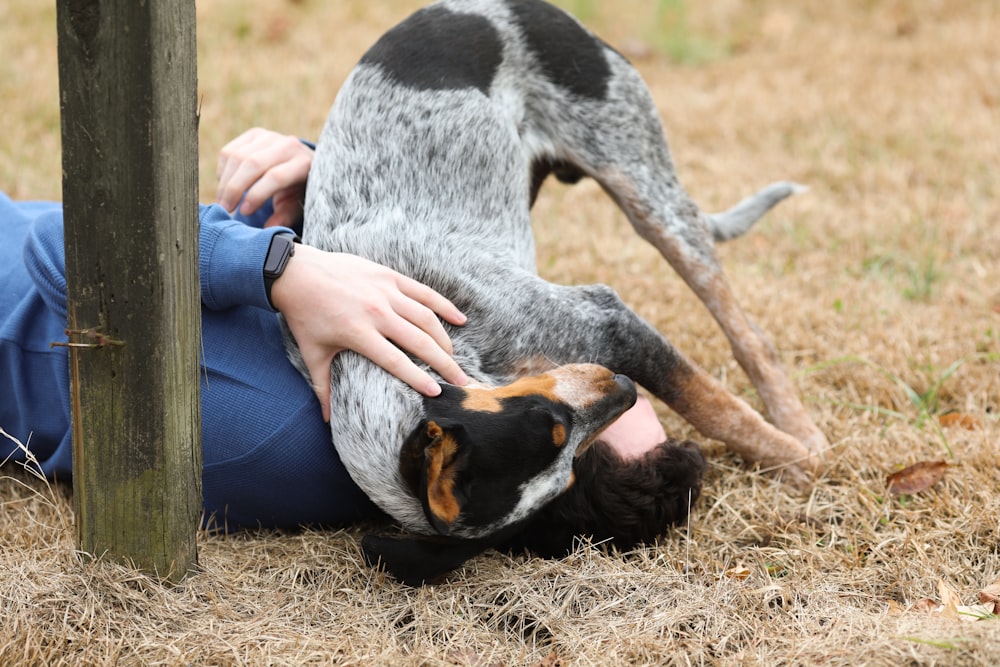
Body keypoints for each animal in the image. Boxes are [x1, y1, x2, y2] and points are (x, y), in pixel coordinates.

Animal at [288, 0, 828, 584]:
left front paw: (803, 463)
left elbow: (717, 409)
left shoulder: (608, 323)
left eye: (550, 425)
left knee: (747, 334)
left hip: (647, 191)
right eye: (562, 448)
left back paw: (802, 429)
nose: (625, 388)